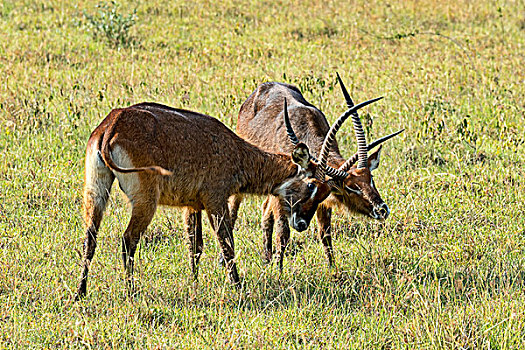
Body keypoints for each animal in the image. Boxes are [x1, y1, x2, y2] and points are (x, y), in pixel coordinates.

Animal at [74, 100, 384, 298]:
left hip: (96, 190)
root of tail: (112, 124)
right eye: (311, 184)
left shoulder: (193, 205)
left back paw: (80, 293)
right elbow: (227, 243)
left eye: (325, 193)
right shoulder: (216, 201)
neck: (235, 150)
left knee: (90, 237)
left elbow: (195, 246)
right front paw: (237, 286)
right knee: (128, 239)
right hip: (145, 201)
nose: (302, 223)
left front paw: (195, 283)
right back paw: (130, 291)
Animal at [231, 75, 404, 270]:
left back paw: (266, 258)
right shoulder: (281, 197)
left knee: (265, 211)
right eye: (350, 187)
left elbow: (325, 234)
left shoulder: (322, 203)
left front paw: (332, 268)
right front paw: (279, 271)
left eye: (371, 178)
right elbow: (283, 234)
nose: (381, 209)